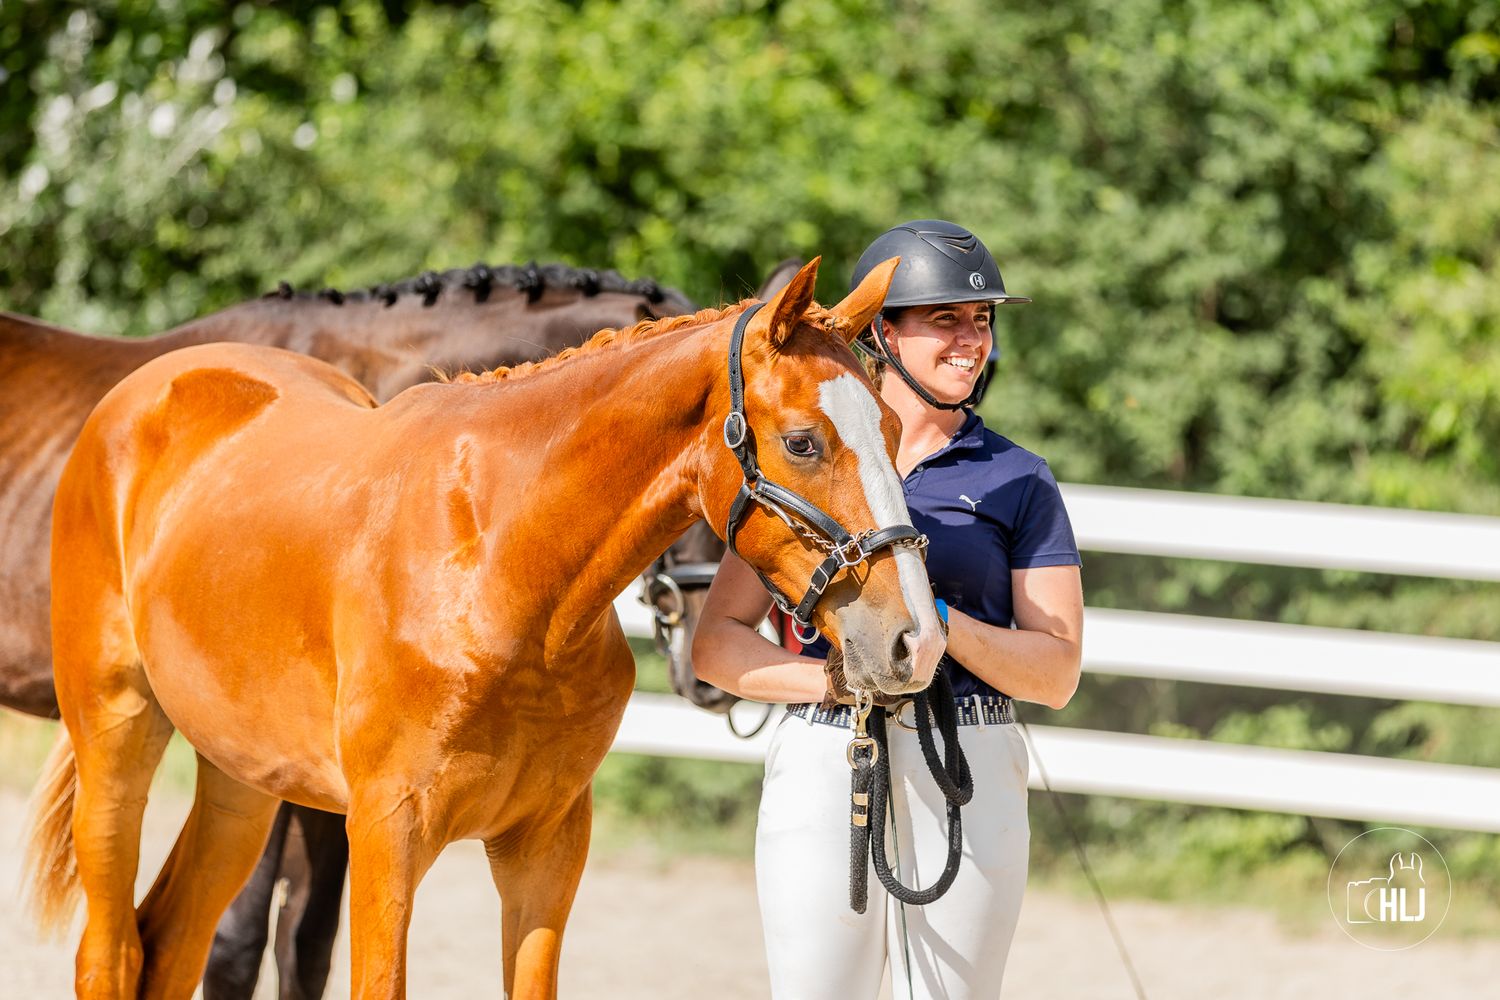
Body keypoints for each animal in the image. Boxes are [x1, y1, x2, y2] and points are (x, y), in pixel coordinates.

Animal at [26, 256, 943, 999]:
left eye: (895, 428)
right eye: (804, 442)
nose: (915, 642)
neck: (503, 575)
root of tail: (144, 392)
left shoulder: (545, 848)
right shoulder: (386, 834)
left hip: (242, 781)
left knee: (169, 942)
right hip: (117, 734)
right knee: (110, 953)